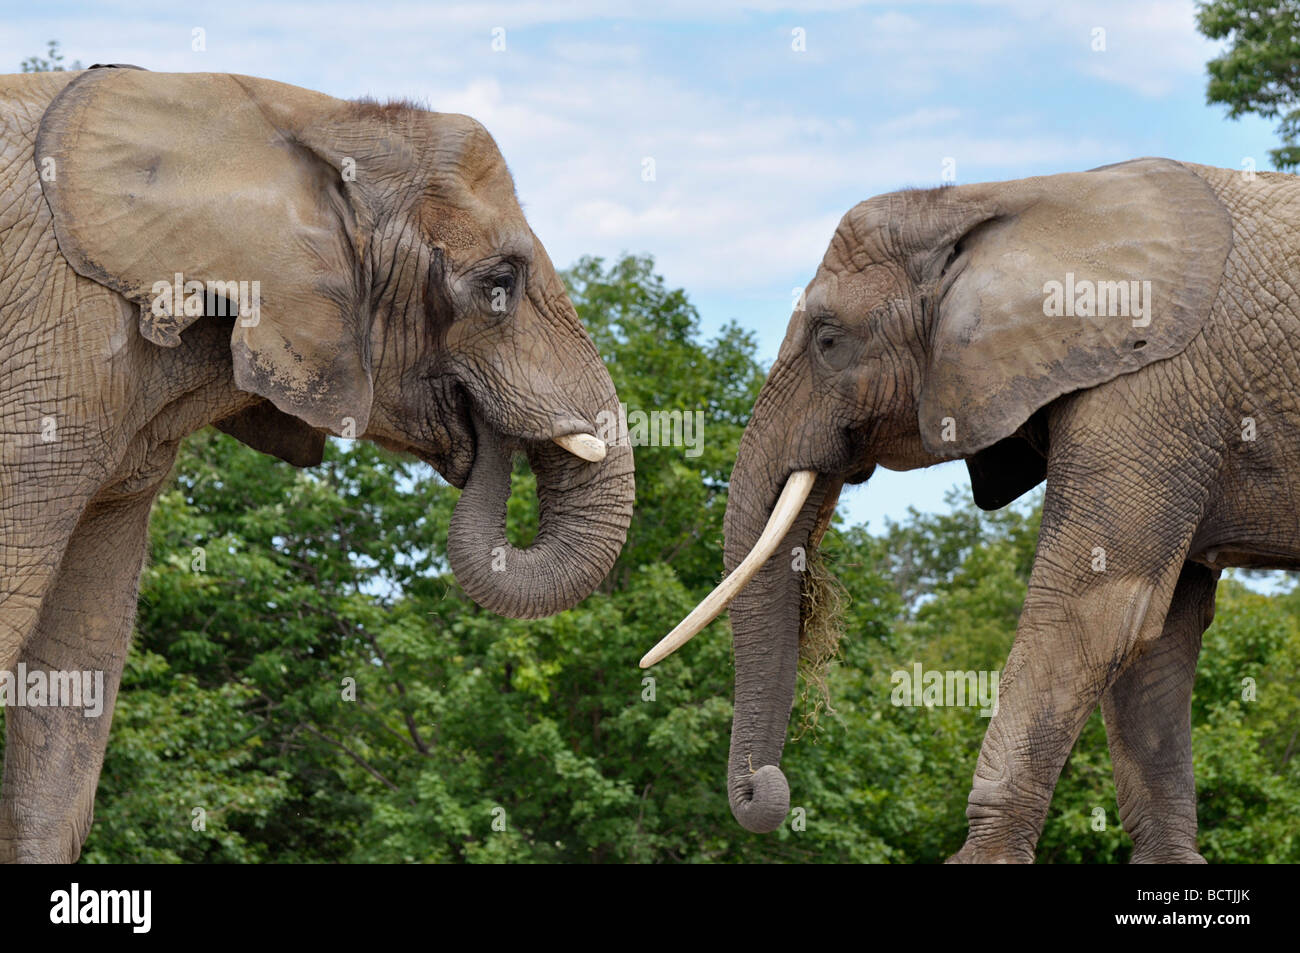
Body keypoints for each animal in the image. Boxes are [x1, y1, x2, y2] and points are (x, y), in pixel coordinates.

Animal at [644, 157, 1284, 863]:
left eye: (829, 340)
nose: (766, 786)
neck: (991, 201)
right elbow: (1161, 629)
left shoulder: (1155, 386)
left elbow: (1099, 609)